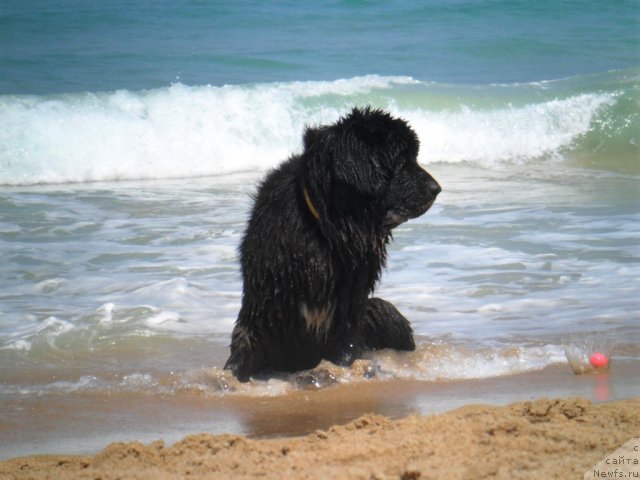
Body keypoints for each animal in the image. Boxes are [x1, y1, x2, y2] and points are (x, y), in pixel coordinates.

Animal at [225, 107, 440, 380]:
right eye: (401, 159)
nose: (437, 189)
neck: (329, 231)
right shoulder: (264, 300)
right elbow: (243, 348)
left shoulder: (351, 304)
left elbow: (345, 350)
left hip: (381, 311)